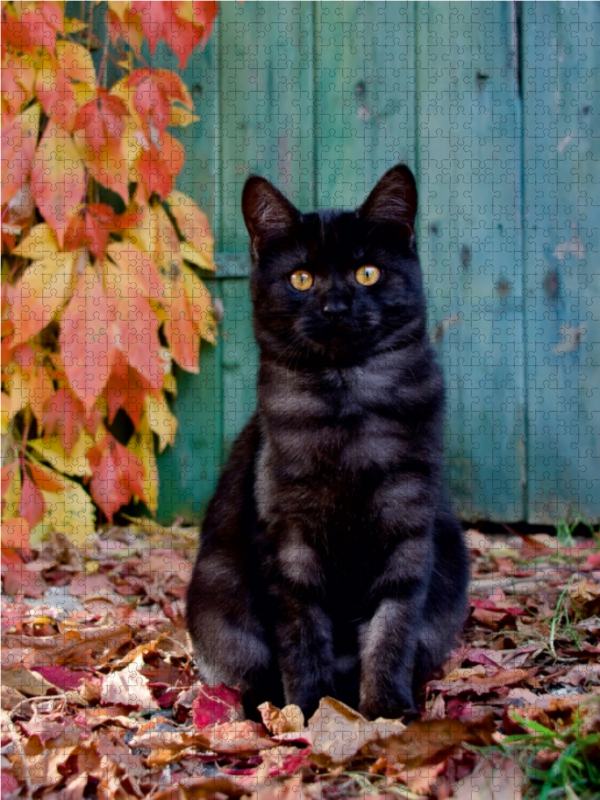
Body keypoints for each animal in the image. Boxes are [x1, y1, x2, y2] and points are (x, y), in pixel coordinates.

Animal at [186, 166, 468, 720]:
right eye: (301, 278)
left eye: (367, 273)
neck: (347, 407)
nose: (336, 306)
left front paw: (384, 711)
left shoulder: (407, 534)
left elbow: (391, 630)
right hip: (217, 598)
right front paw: (312, 712)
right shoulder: (288, 542)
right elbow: (302, 634)